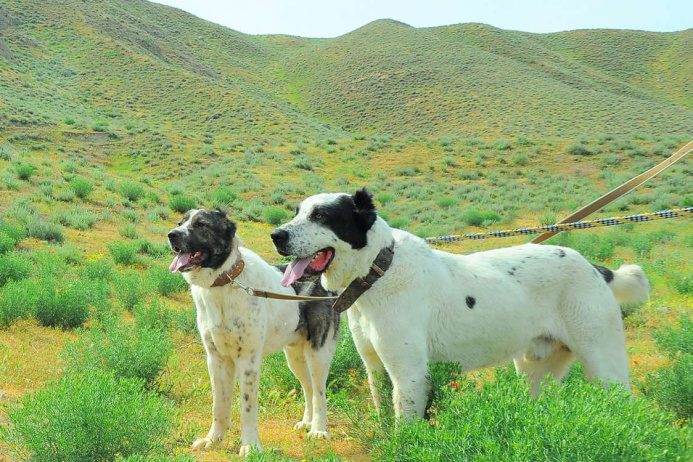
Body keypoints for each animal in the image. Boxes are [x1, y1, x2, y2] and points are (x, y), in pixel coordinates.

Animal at [169, 209, 340, 454]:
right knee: (308, 387)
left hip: (318, 353)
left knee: (320, 391)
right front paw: (213, 439)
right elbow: (218, 406)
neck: (225, 282)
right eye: (180, 222)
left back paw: (318, 430)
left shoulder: (248, 361)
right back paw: (307, 422)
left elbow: (247, 407)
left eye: (201, 224)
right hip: (295, 357)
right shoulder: (217, 360)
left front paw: (250, 446)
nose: (171, 235)